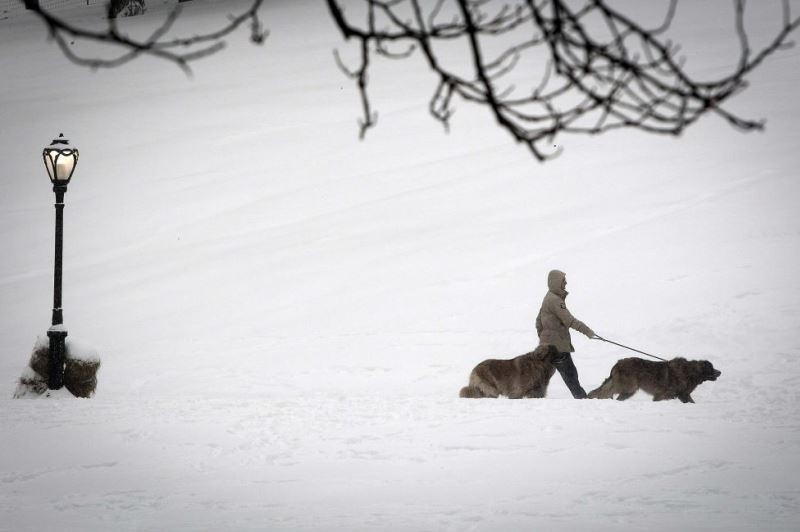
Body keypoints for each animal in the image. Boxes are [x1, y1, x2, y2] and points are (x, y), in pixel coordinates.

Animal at [588, 358, 720, 404]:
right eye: (711, 368)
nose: (720, 372)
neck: (691, 372)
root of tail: (618, 363)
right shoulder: (664, 395)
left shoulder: (683, 395)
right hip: (628, 387)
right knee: (605, 392)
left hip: (626, 389)